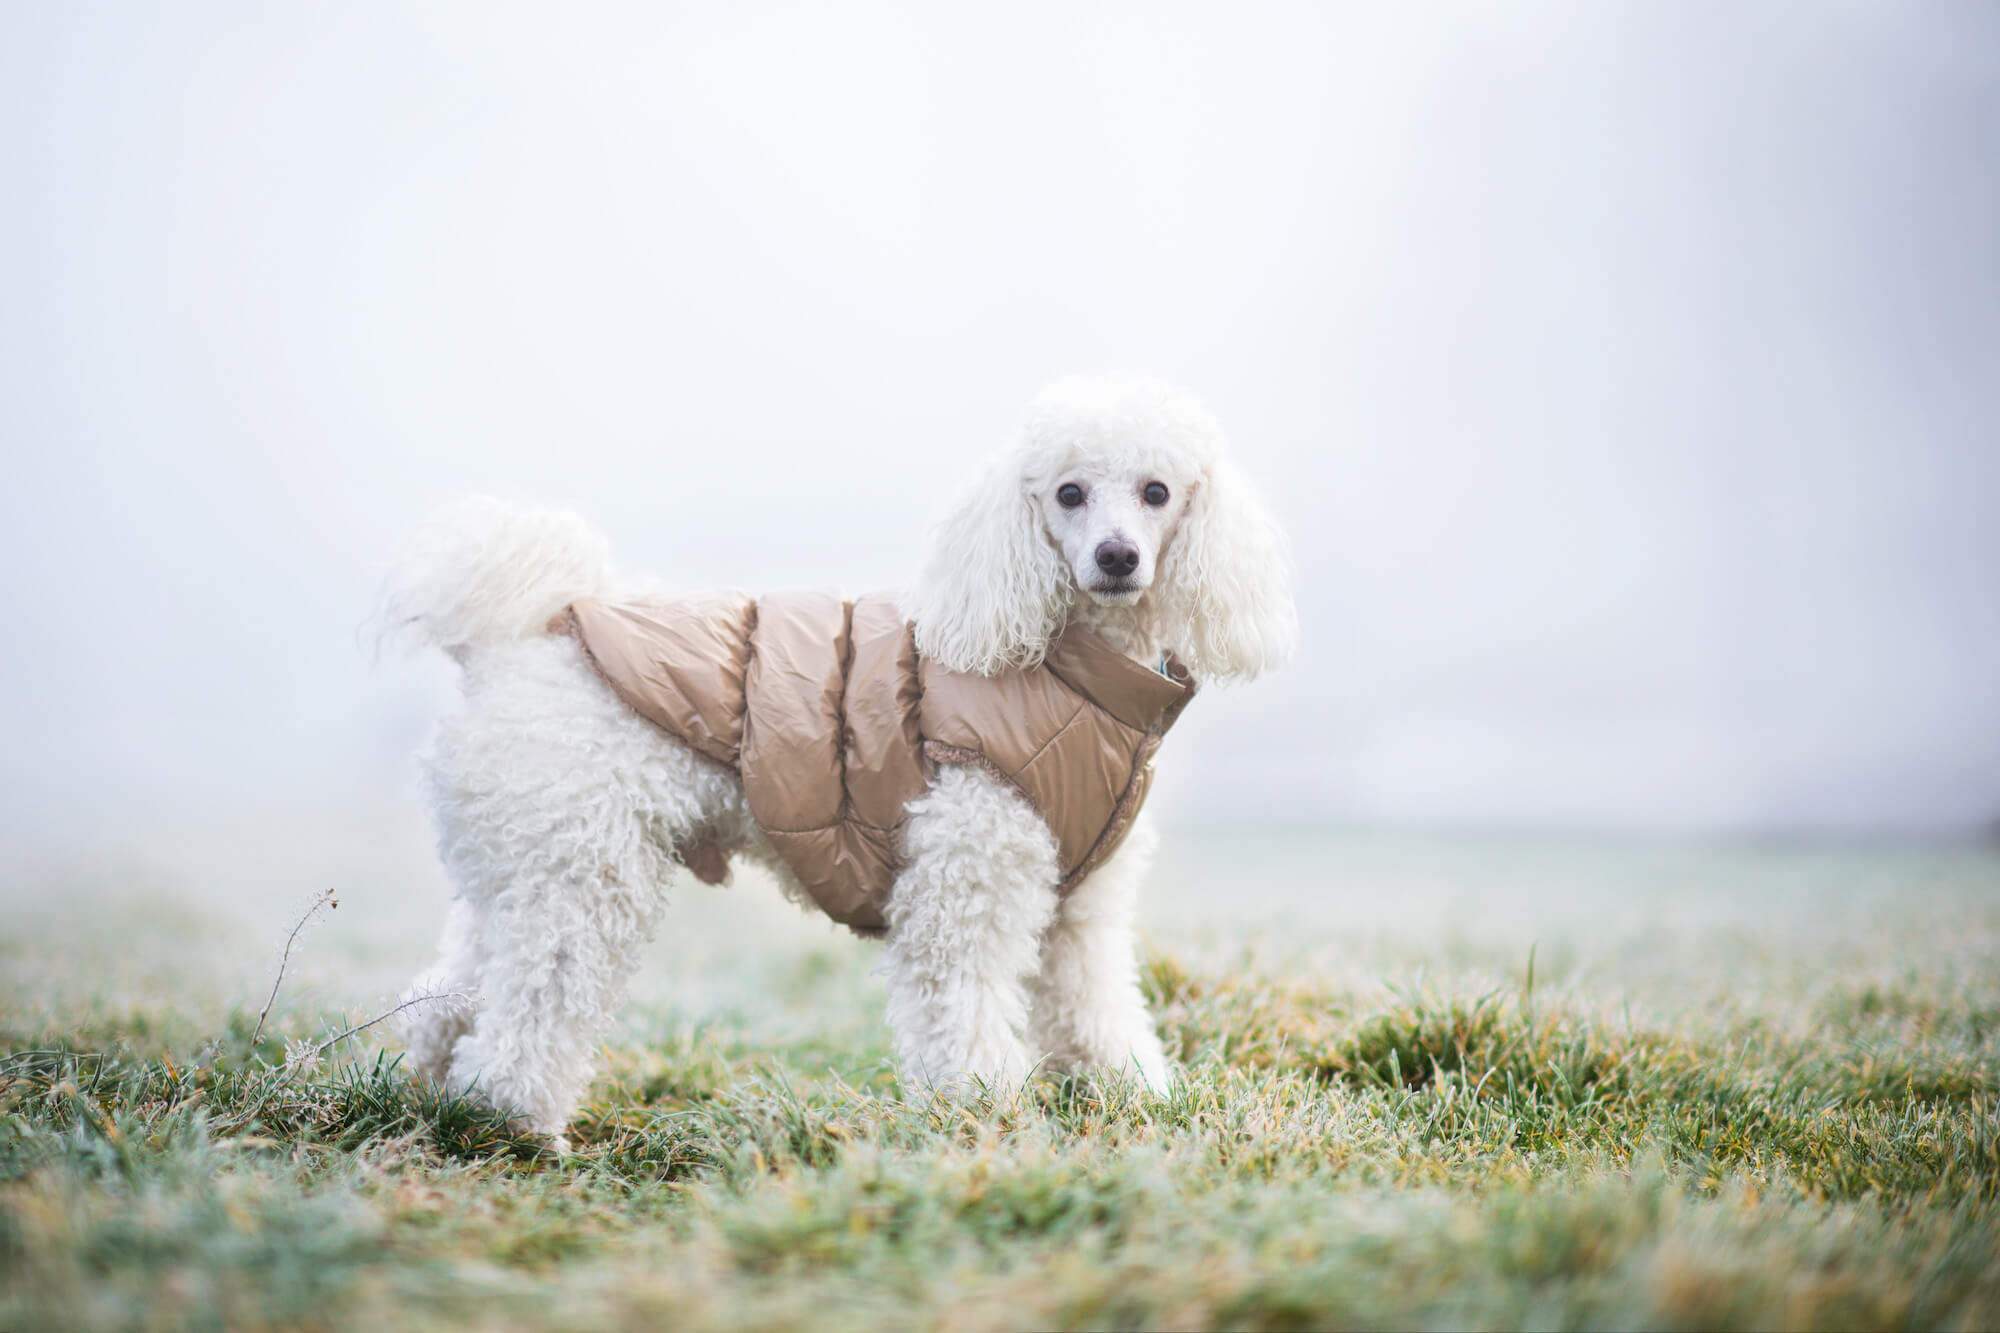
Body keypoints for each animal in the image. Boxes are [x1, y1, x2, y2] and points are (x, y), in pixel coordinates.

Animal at [386, 368, 1296, 1136]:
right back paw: (516, 1124)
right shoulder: (964, 880)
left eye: (1157, 492)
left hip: (522, 864)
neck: (1070, 669)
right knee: (534, 1003)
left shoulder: (1082, 910)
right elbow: (963, 1007)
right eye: (1068, 493)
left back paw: (441, 1095)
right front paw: (980, 1113)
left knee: (449, 990)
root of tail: (524, 633)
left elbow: (1097, 1011)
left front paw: (1135, 1094)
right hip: (583, 871)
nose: (1117, 555)